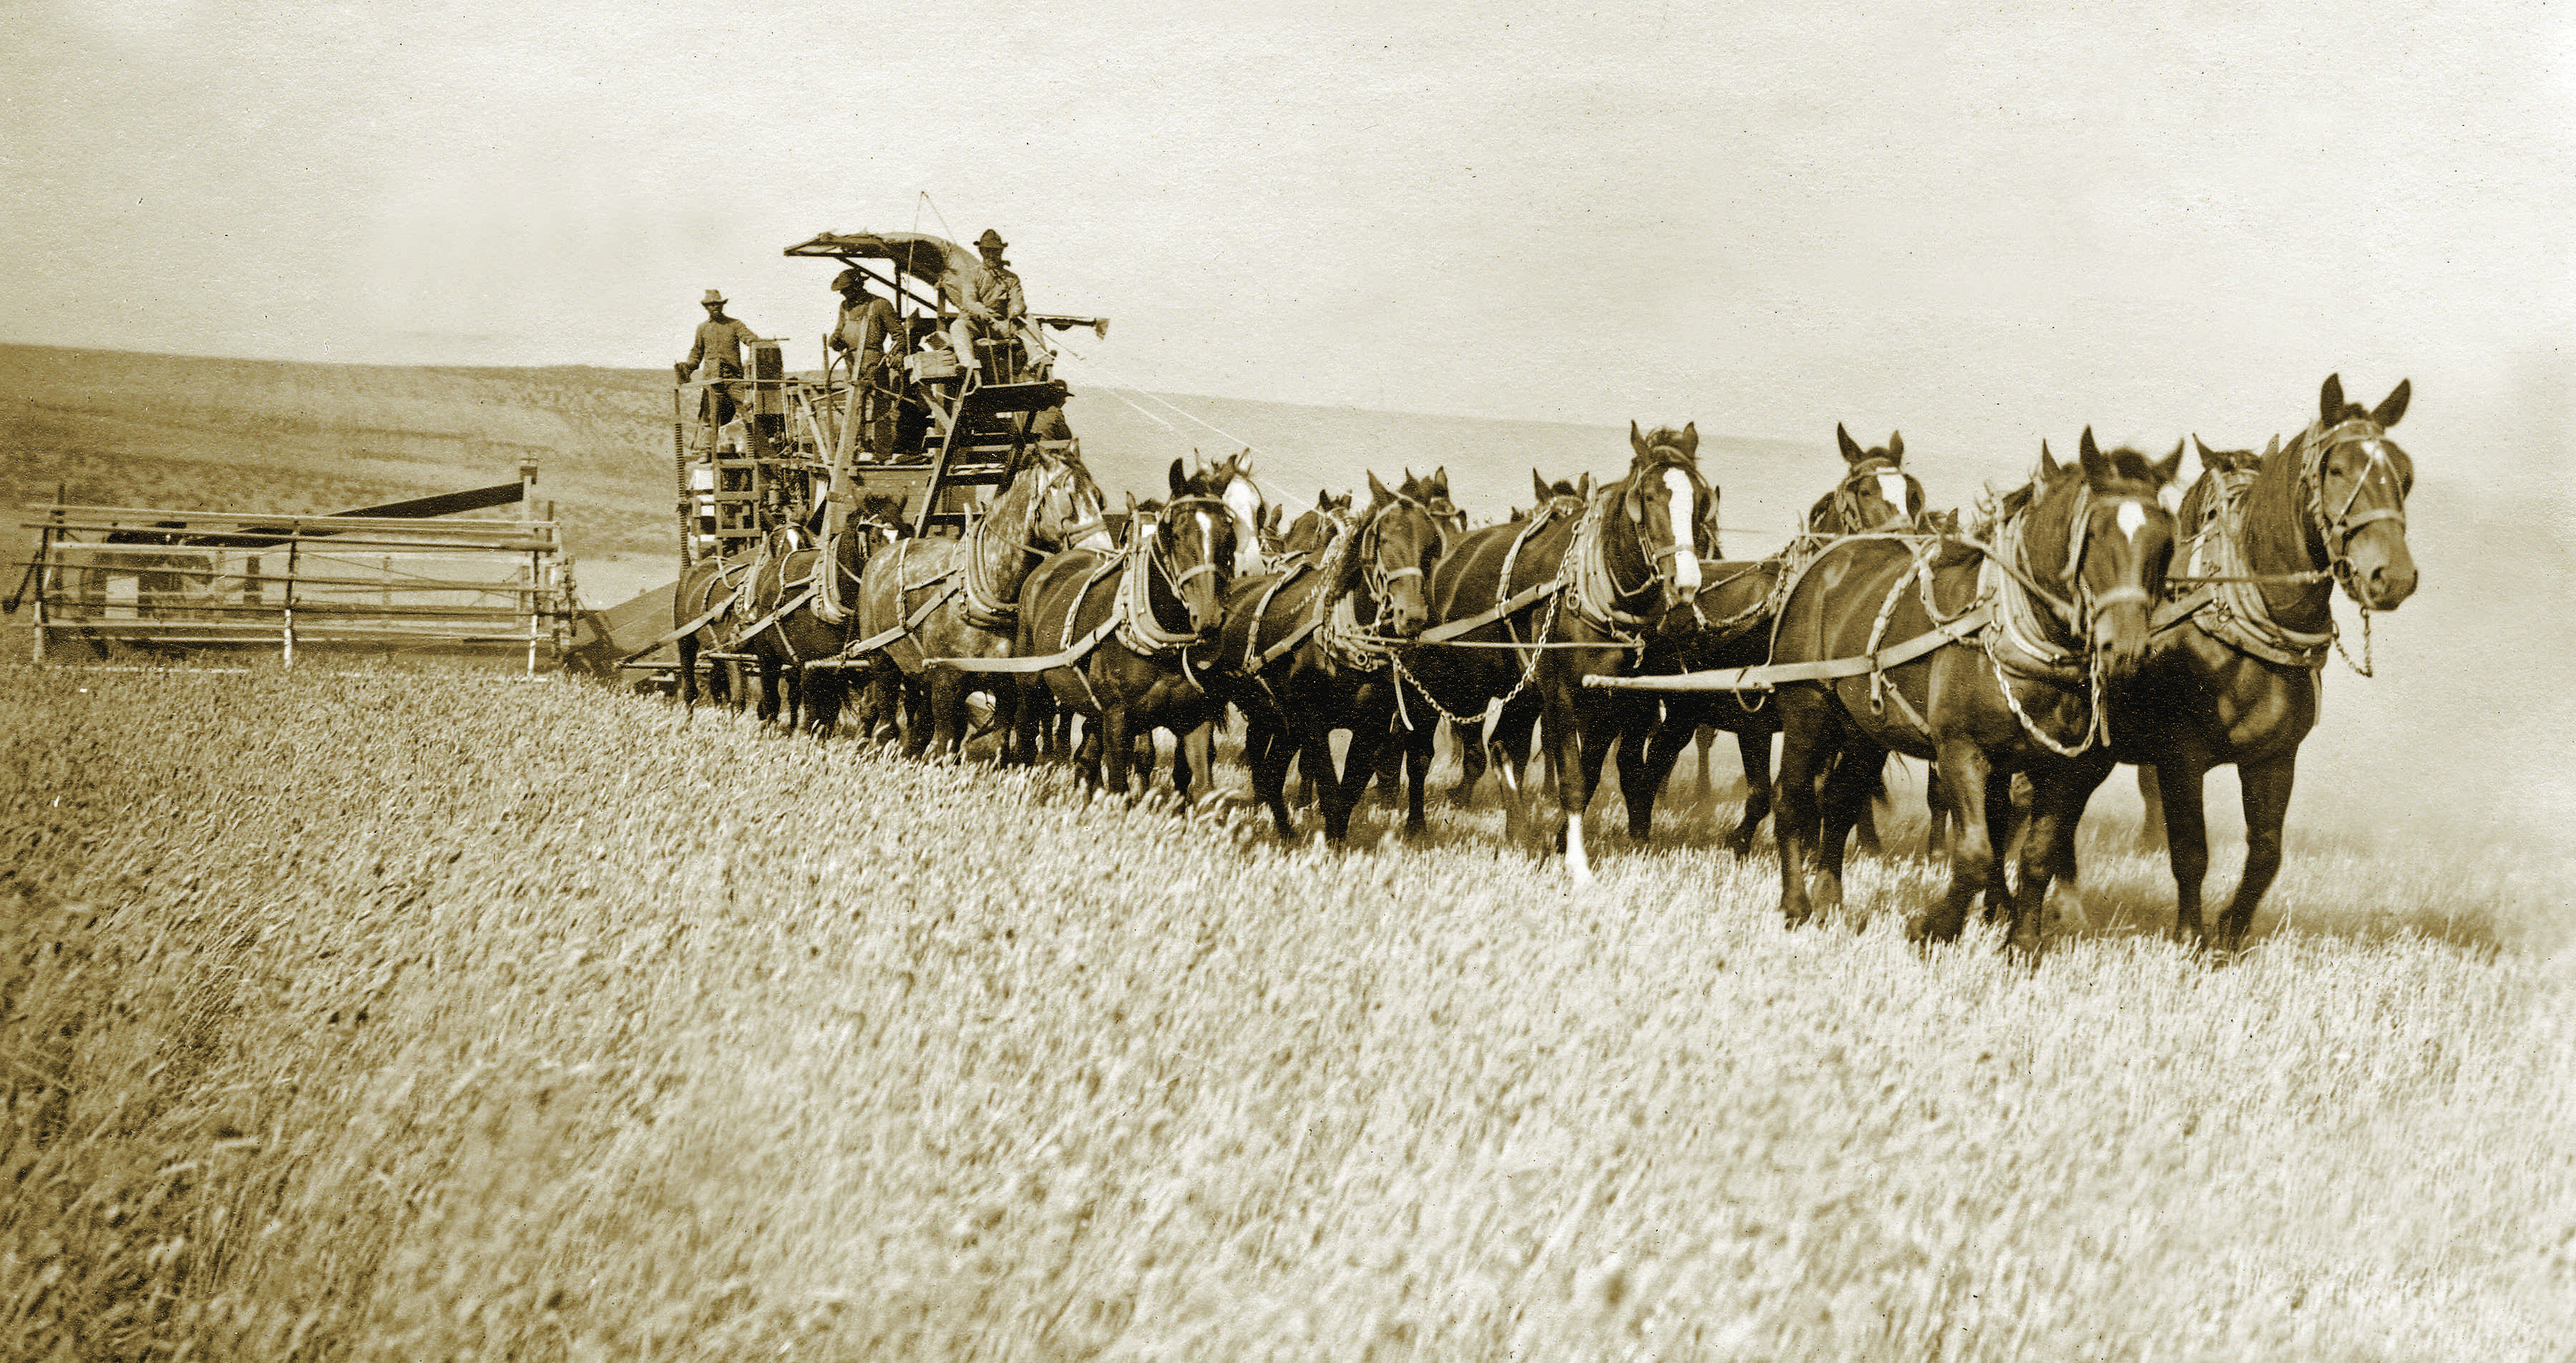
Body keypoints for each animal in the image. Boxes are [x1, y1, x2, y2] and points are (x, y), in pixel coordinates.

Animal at [855, 443, 1118, 752]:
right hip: (882, 659)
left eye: (1098, 498)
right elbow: (945, 743)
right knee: (885, 722)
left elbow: (998, 745)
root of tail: (880, 557)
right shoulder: (946, 682)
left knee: (918, 727)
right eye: (1069, 499)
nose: (1104, 552)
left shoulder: (1008, 687)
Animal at [1015, 461, 1236, 793]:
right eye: (1176, 534)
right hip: (1031, 686)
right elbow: (1120, 783)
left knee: (1086, 760)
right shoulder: (1118, 716)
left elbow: (1202, 787)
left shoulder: (1196, 716)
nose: (1209, 614)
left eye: (1230, 534)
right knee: (1027, 743)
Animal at [1211, 477, 1443, 839]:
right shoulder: (1310, 720)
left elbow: (1348, 794)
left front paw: (1334, 843)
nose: (1414, 616)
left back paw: (1285, 830)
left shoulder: (1371, 726)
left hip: (1270, 712)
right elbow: (1329, 789)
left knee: (1270, 770)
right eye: (1384, 540)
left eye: (1432, 545)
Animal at [1391, 419, 1710, 876]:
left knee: (1503, 748)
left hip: (1518, 691)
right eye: (1648, 497)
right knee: (1417, 749)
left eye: (1701, 499)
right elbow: (1573, 779)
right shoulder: (1560, 695)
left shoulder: (1622, 703)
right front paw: (1577, 862)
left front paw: (1563, 842)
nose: (1685, 584)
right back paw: (1416, 825)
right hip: (1436, 680)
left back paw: (1518, 834)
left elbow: (1598, 774)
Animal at [1772, 430, 2174, 953]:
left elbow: (2037, 853)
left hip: (1863, 728)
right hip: (1807, 712)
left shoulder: (2066, 769)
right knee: (1792, 798)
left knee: (1840, 801)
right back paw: (1795, 904)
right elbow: (1977, 851)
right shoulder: (1962, 750)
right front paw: (1935, 927)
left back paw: (1828, 900)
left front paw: (2022, 942)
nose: (2124, 648)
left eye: (2165, 541)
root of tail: (1825, 564)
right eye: (2095, 534)